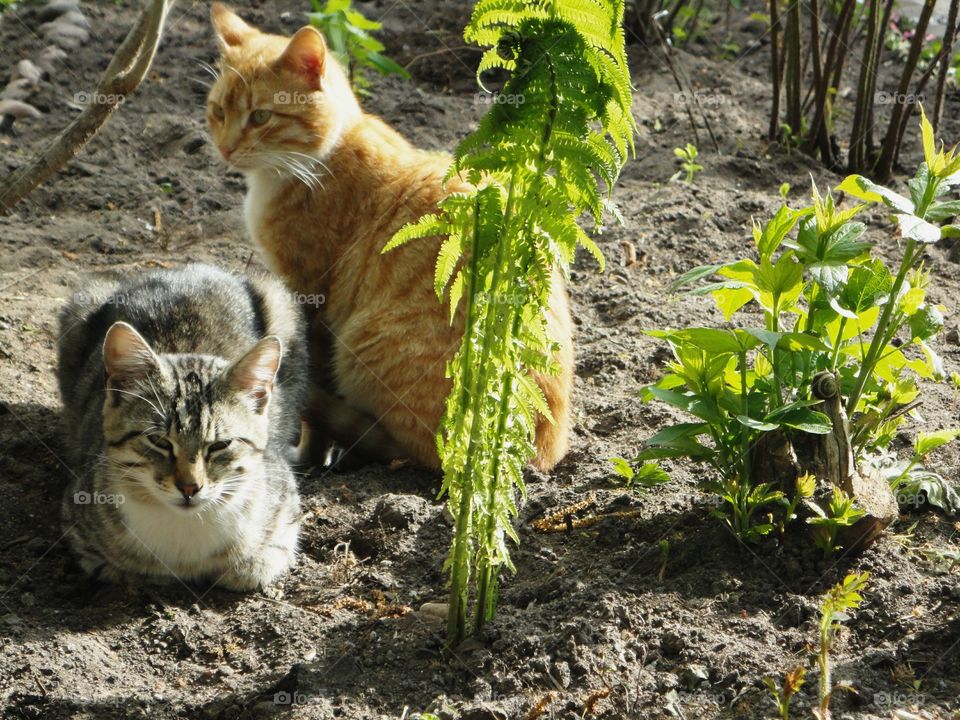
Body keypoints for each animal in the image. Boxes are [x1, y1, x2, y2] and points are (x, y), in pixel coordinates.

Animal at [56, 264, 310, 592]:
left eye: (220, 445)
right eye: (159, 441)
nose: (190, 487)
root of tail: (187, 268)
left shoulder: (286, 511)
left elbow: (255, 565)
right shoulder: (77, 521)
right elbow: (121, 569)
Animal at [207, 4, 572, 472]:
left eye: (260, 117)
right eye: (218, 111)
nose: (226, 148)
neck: (314, 161)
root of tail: (533, 452)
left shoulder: (311, 294)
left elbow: (312, 401)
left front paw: (307, 457)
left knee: (408, 452)